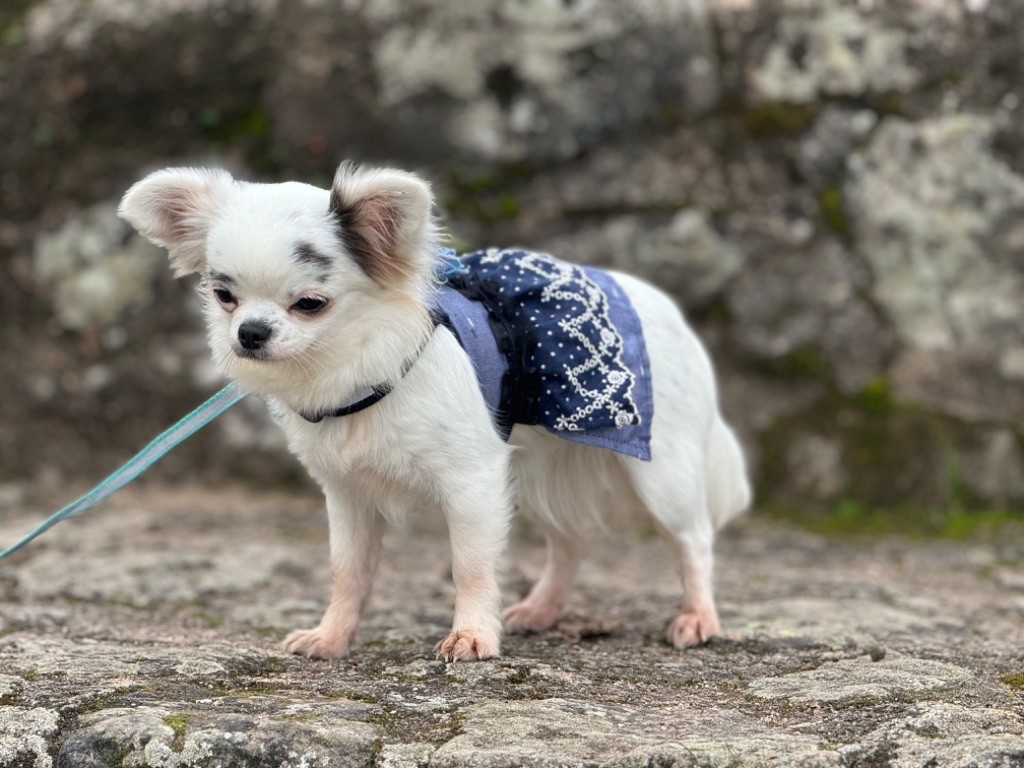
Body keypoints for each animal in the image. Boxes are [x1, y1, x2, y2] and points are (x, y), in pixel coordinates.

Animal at [117, 160, 753, 663]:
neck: (355, 372)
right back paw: (541, 609)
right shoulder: (348, 494)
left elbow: (469, 565)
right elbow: (348, 571)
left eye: (310, 305)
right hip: (538, 470)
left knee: (693, 539)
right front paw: (332, 637)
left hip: (659, 470)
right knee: (569, 543)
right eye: (224, 296)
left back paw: (698, 616)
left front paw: (472, 637)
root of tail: (663, 307)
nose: (249, 333)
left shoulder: (471, 482)